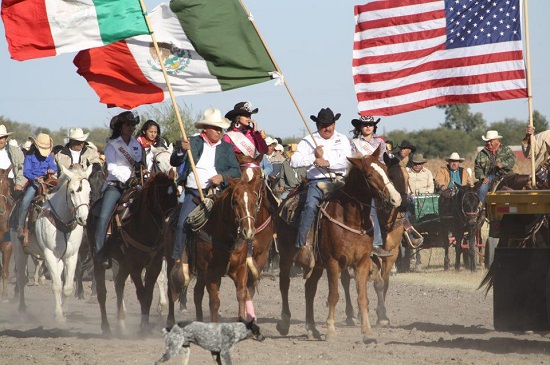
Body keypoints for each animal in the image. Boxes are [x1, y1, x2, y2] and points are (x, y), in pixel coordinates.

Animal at [12, 165, 92, 322]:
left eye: (89, 191)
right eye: (72, 191)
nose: (83, 218)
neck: (62, 221)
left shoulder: (72, 256)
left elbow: (67, 287)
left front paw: (64, 312)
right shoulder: (49, 255)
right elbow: (56, 286)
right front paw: (59, 316)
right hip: (20, 251)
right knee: (21, 278)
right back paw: (22, 308)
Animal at [87, 172, 177, 334]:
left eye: (176, 193)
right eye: (161, 195)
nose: (172, 219)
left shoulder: (154, 264)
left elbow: (148, 294)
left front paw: (145, 325)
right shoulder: (134, 265)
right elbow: (142, 294)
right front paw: (144, 326)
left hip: (123, 264)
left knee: (119, 284)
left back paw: (121, 325)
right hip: (99, 258)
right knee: (102, 292)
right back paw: (106, 328)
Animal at [278, 146, 404, 342]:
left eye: (385, 169)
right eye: (369, 174)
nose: (396, 199)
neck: (351, 220)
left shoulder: (362, 262)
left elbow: (363, 296)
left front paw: (368, 332)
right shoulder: (333, 263)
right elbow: (334, 295)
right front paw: (330, 330)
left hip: (316, 264)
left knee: (309, 290)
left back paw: (311, 328)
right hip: (285, 255)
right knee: (284, 283)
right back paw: (284, 323)